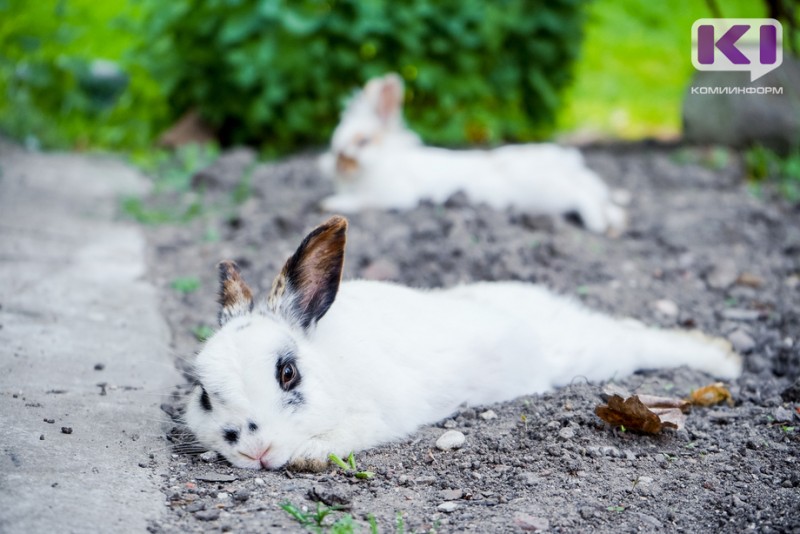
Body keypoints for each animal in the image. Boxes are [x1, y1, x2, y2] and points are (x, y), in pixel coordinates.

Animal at [183, 216, 744, 472]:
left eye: (287, 374)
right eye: (205, 396)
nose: (255, 450)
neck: (331, 365)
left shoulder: (378, 417)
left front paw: (307, 457)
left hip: (592, 354)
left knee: (638, 340)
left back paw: (724, 360)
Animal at [322, 74, 628, 236]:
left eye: (362, 141)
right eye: (334, 140)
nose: (338, 163)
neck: (383, 160)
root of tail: (568, 165)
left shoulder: (393, 196)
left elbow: (362, 201)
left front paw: (328, 203)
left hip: (548, 195)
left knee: (584, 199)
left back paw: (599, 225)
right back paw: (617, 222)